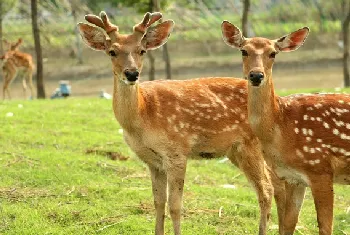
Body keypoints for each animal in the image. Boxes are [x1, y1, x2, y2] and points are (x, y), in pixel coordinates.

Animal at [77, 11, 288, 235]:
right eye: (112, 51)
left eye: (142, 50)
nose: (132, 73)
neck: (142, 116)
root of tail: (277, 102)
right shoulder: (153, 160)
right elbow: (158, 202)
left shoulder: (176, 151)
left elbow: (175, 205)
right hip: (238, 151)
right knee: (276, 185)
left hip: (250, 145)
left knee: (266, 189)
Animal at [221, 21, 350, 234]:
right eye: (243, 51)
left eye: (273, 53)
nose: (256, 75)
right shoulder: (292, 178)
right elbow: (288, 224)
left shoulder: (320, 168)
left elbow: (325, 227)